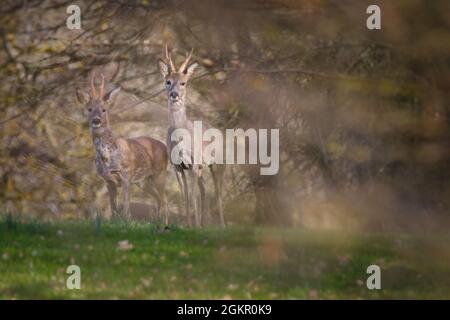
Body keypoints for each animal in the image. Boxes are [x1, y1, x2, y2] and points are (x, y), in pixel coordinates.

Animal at [76, 73, 170, 224]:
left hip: (159, 173)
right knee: (158, 199)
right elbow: (113, 209)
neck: (108, 156)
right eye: (89, 109)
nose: (96, 121)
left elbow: (126, 209)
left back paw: (165, 224)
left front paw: (127, 223)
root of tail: (164, 146)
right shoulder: (108, 180)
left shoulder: (126, 176)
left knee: (165, 200)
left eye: (104, 109)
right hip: (144, 181)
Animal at [157, 47, 225, 228]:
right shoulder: (177, 166)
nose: (174, 94)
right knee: (204, 188)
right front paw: (187, 224)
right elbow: (185, 195)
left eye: (183, 83)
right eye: (168, 81)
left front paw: (193, 225)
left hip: (218, 162)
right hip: (202, 167)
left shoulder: (194, 163)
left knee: (217, 191)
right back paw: (204, 223)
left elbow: (192, 194)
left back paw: (221, 225)